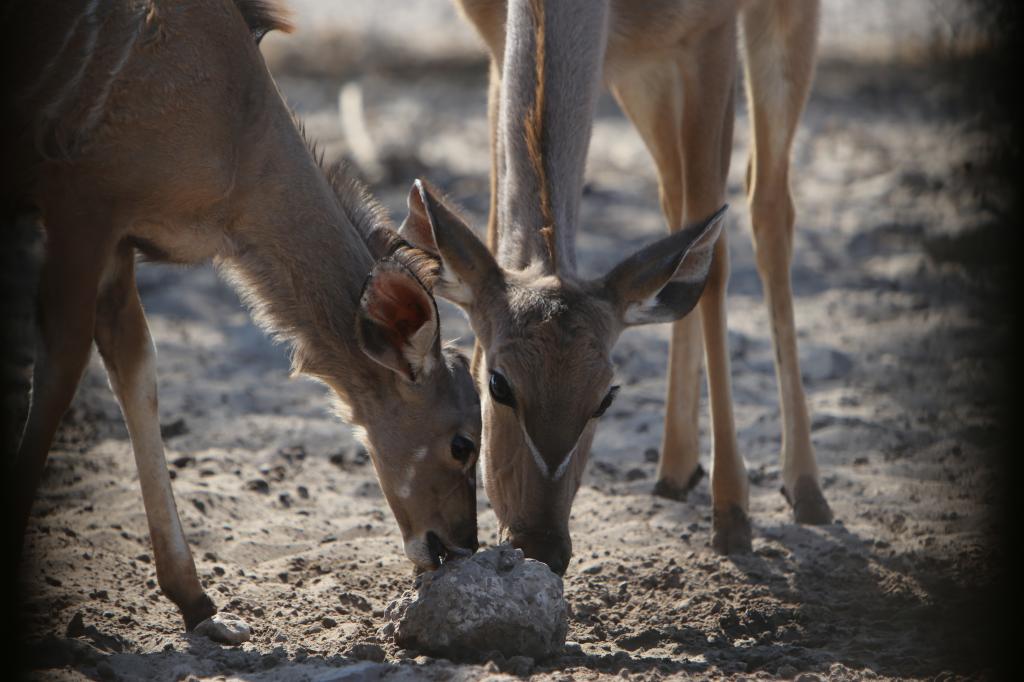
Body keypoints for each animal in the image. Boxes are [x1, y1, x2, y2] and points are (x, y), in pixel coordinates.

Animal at [2, 0, 481, 638]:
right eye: (462, 444)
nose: (459, 547)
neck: (239, 127)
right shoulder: (81, 210)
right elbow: (61, 368)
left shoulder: (118, 243)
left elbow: (137, 371)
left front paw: (199, 605)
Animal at [399, 0, 831, 569]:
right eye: (498, 383)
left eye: (606, 397)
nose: (541, 545)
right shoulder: (496, 42)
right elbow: (492, 226)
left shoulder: (708, 37)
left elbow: (713, 252)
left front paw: (733, 514)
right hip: (640, 74)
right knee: (676, 199)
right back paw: (675, 468)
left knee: (766, 204)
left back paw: (805, 490)